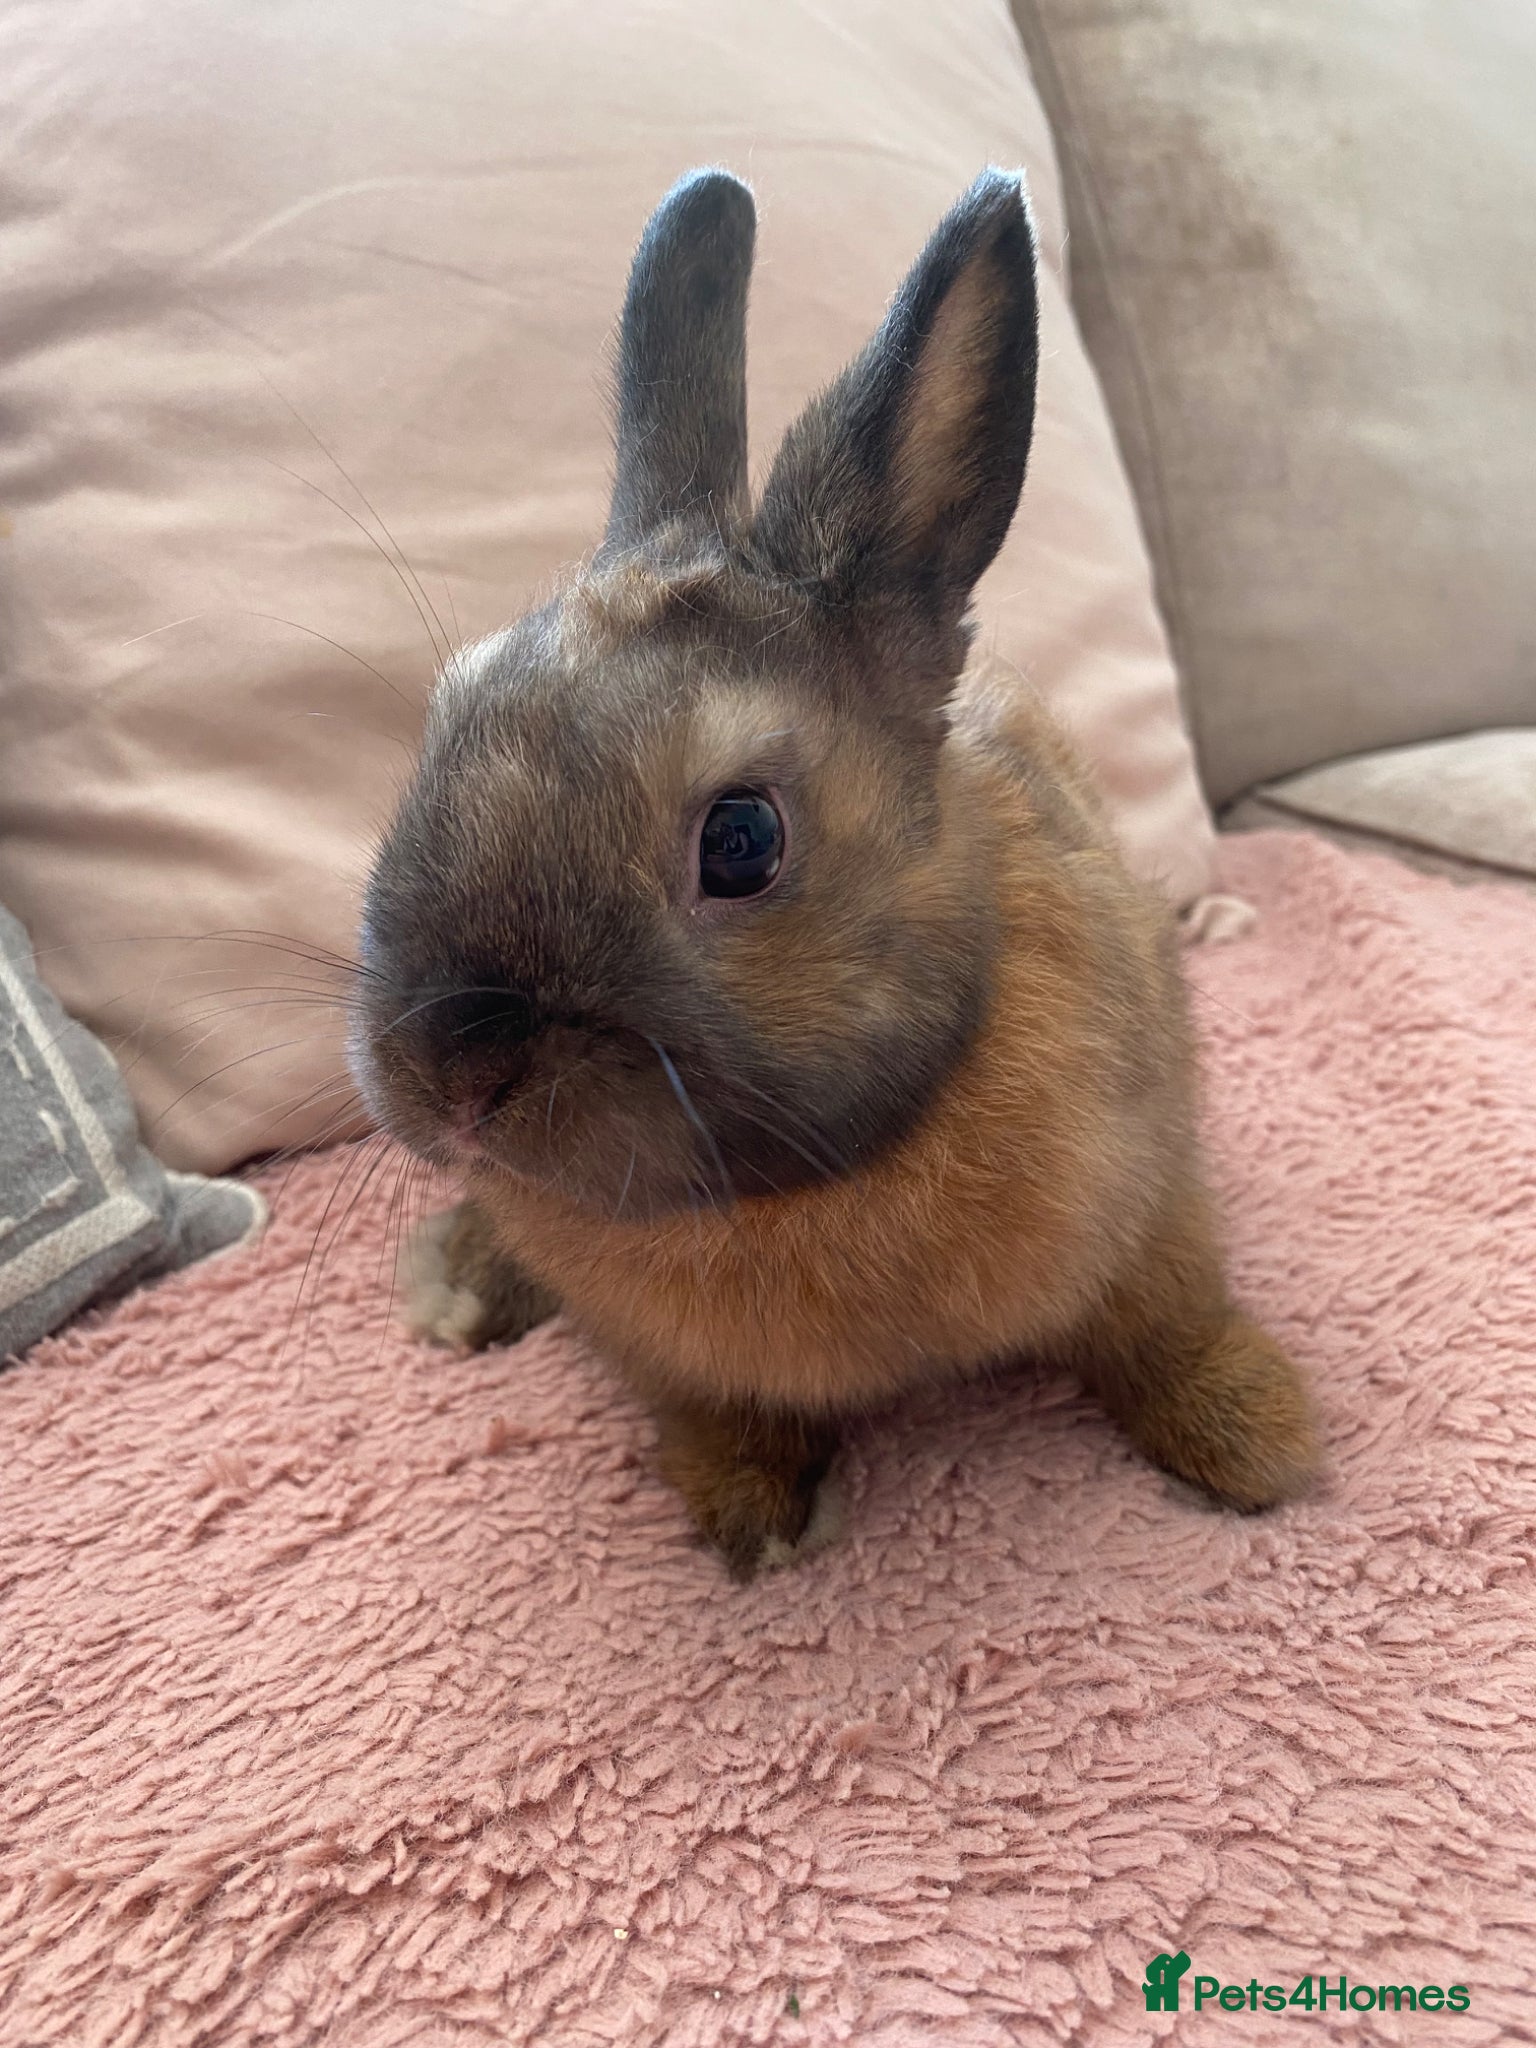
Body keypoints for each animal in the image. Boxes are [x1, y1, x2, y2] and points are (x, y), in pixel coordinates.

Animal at [349, 167, 1318, 1580]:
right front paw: (748, 1520)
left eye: (741, 840)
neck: (818, 1173)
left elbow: (1165, 1329)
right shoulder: (664, 1358)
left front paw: (1263, 1445)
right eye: (443, 723)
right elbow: (713, 1413)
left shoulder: (1152, 1208)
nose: (453, 1074)